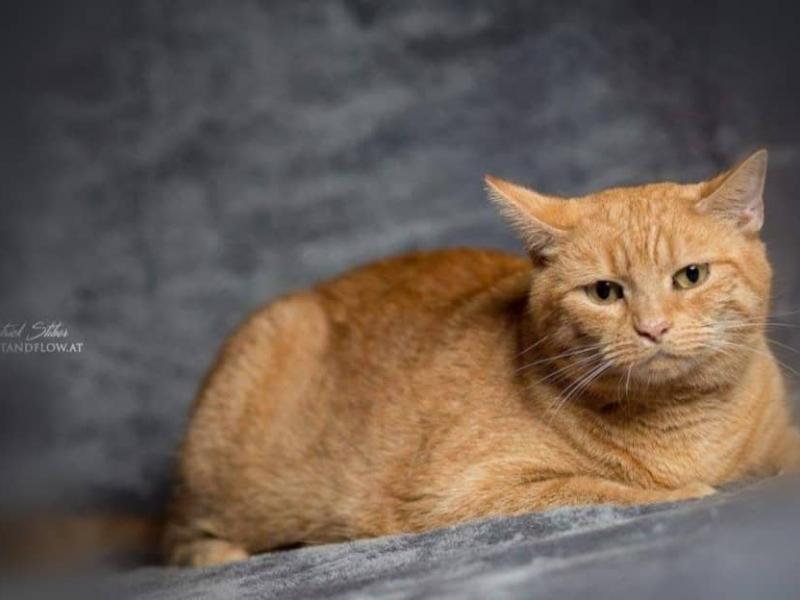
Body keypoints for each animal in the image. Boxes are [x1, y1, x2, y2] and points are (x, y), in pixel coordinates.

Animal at [163, 149, 800, 567]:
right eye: (604, 292)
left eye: (690, 276)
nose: (653, 327)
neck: (689, 426)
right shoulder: (463, 493)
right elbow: (597, 486)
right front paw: (682, 492)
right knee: (188, 541)